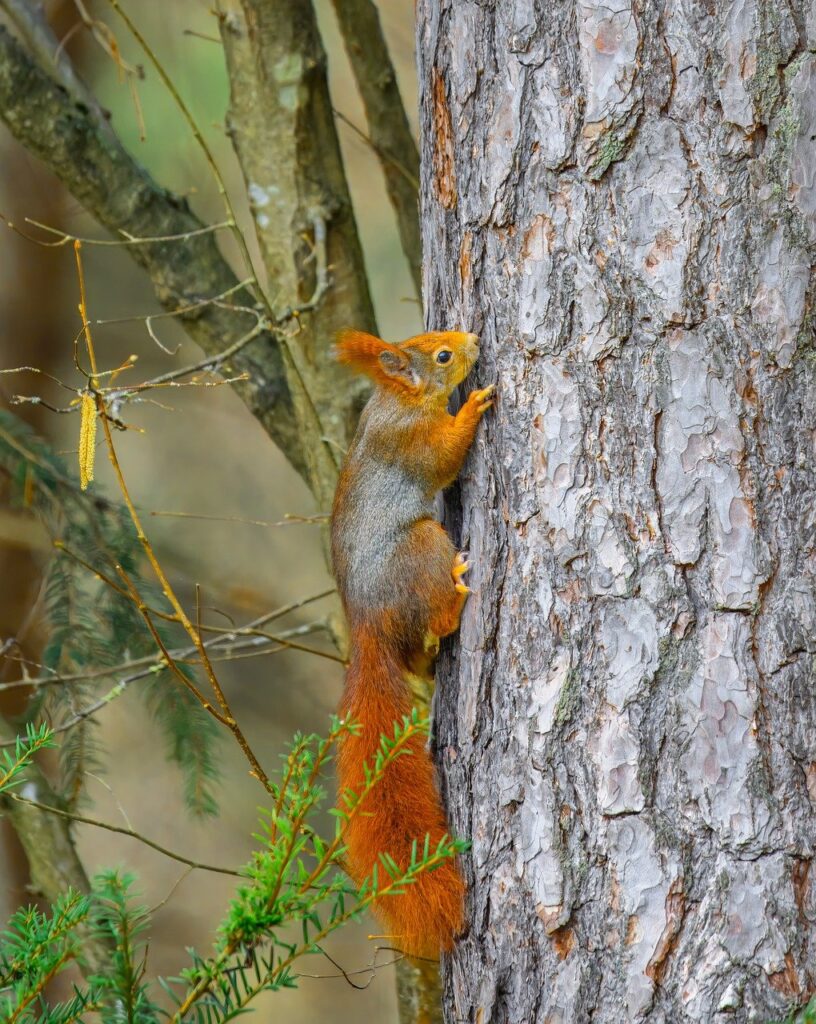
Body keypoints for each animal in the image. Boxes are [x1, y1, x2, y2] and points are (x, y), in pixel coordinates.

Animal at [330, 327, 494, 960]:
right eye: (443, 355)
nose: (473, 339)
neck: (398, 400)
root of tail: (367, 626)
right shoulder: (413, 446)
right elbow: (444, 457)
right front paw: (474, 407)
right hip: (423, 544)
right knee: (441, 618)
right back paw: (458, 598)